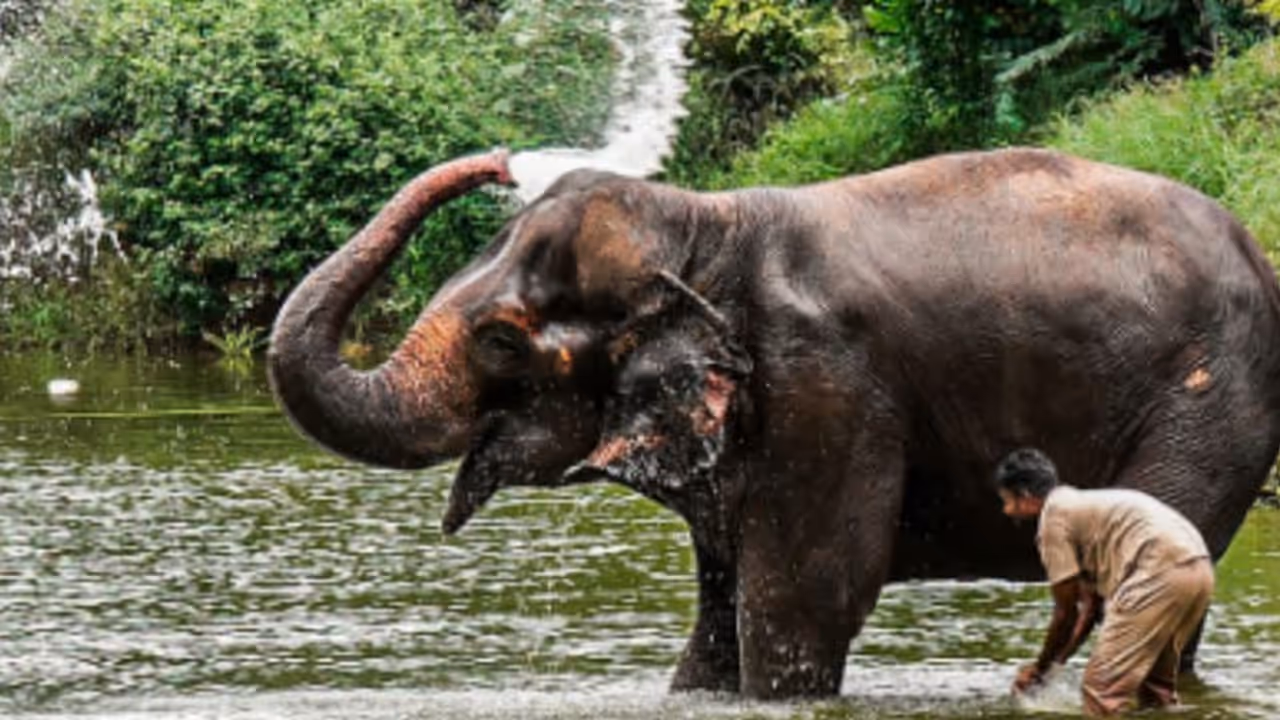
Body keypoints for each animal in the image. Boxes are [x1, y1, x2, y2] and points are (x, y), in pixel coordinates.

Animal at [268, 147, 1280, 699]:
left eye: (501, 341)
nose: (505, 160)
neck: (706, 225)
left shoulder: (827, 388)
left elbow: (803, 598)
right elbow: (720, 613)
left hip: (1209, 408)